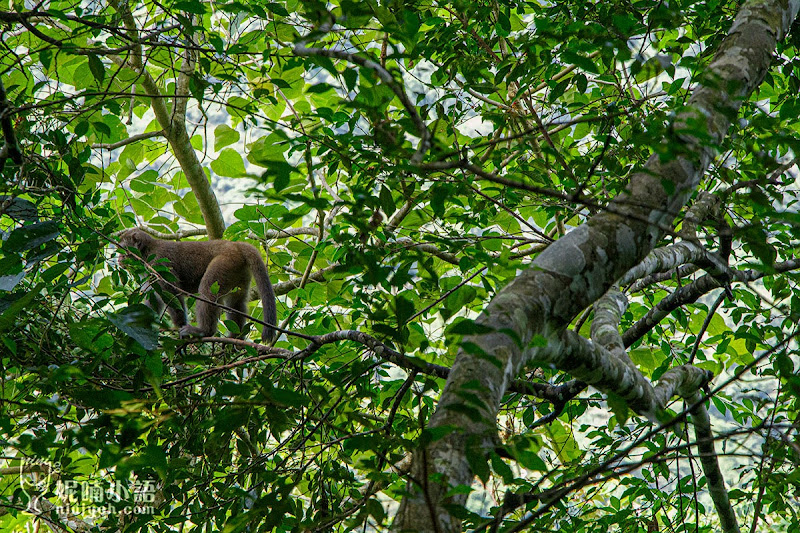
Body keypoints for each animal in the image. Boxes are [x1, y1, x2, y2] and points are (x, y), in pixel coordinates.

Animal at [119, 227, 278, 338]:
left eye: (122, 250)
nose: (119, 259)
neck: (146, 252)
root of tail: (236, 245)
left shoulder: (158, 263)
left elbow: (171, 293)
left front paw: (180, 325)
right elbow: (154, 299)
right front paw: (141, 327)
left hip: (225, 262)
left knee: (207, 290)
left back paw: (204, 331)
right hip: (238, 269)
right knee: (236, 301)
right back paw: (236, 337)